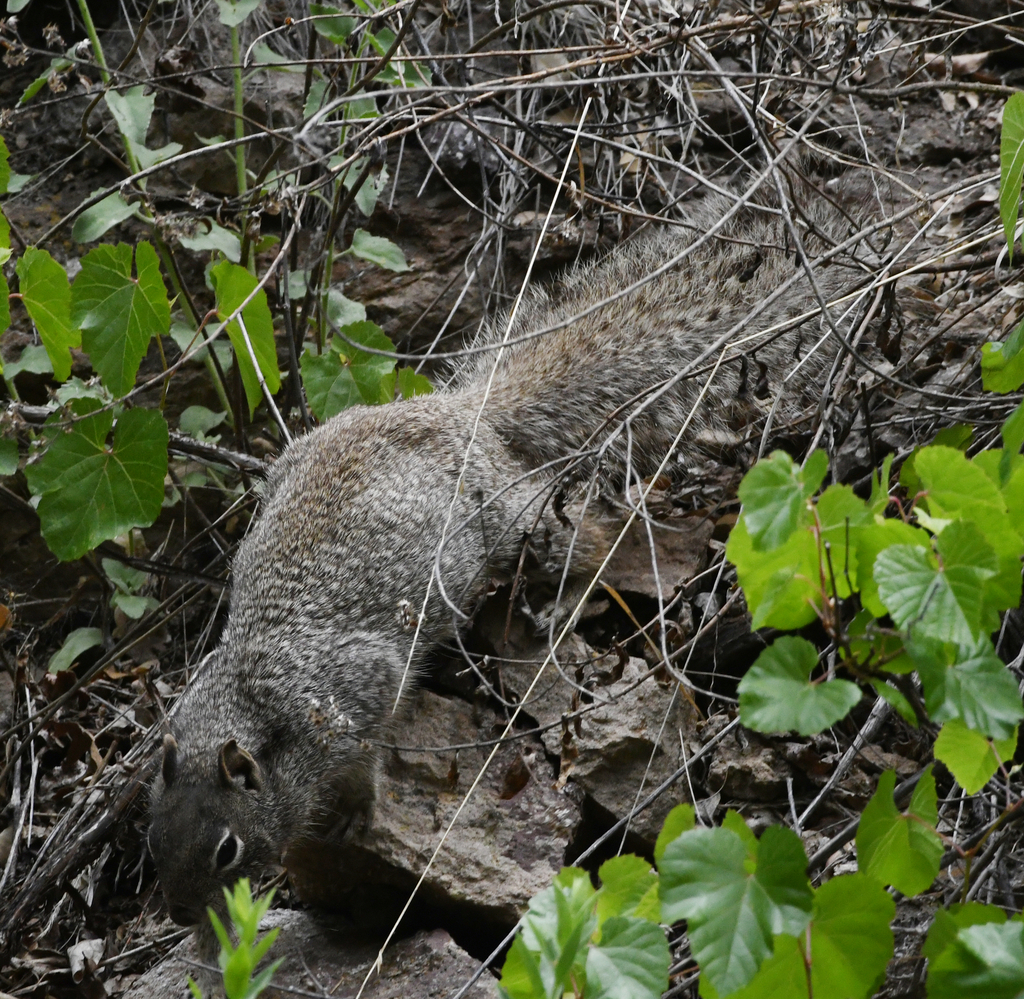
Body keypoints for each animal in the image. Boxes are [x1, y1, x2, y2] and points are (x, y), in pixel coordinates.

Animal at [146, 185, 864, 921]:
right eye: (154, 835)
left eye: (226, 848)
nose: (180, 913)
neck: (250, 703)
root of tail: (467, 412)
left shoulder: (359, 695)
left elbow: (368, 759)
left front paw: (357, 811)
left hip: (516, 522)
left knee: (587, 541)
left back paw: (564, 602)